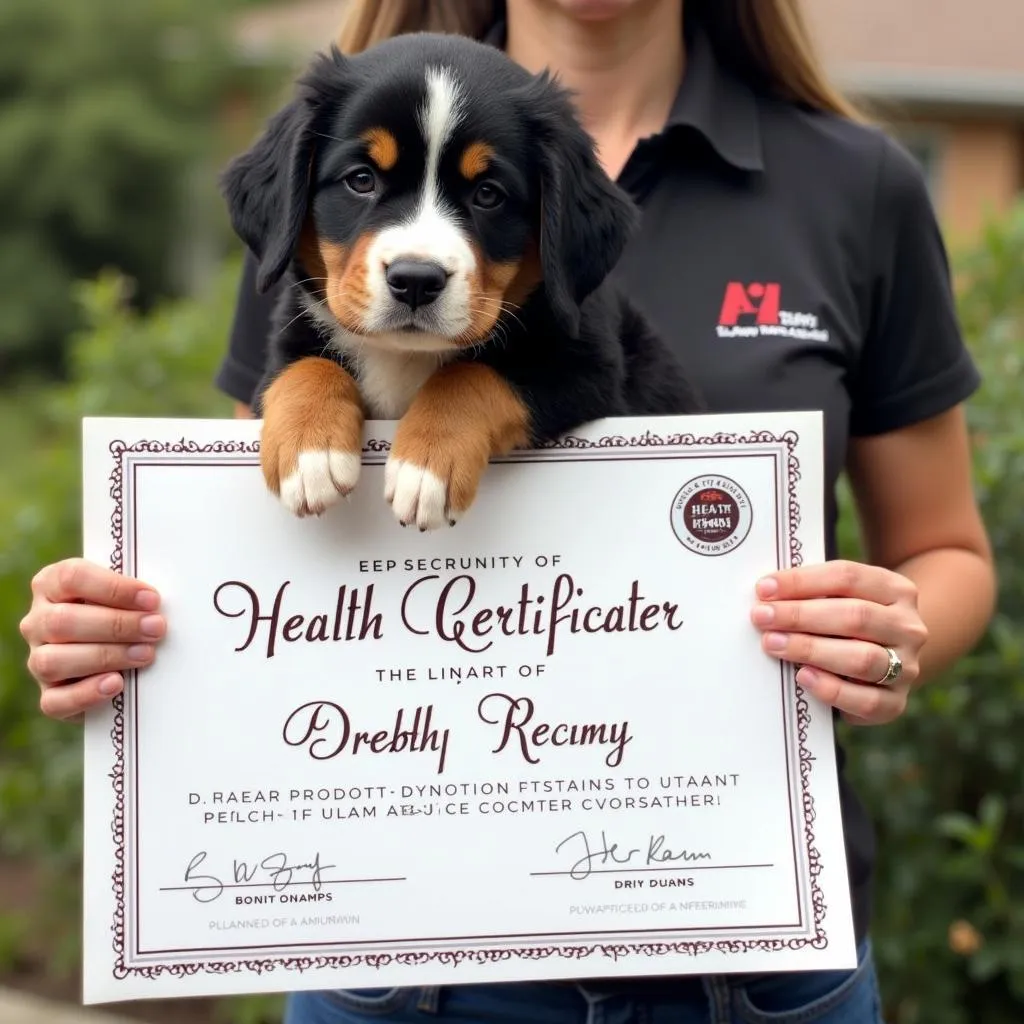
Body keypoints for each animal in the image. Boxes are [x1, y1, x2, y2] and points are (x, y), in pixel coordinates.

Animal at [220, 30, 700, 532]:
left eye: (487, 194)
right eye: (361, 180)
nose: (415, 280)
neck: (405, 356)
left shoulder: (589, 371)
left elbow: (471, 374)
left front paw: (425, 467)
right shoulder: (290, 339)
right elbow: (305, 366)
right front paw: (310, 455)